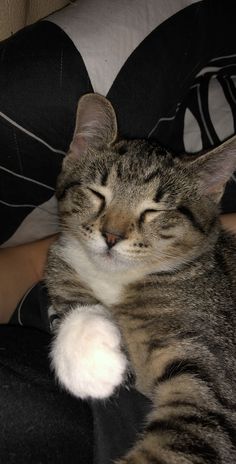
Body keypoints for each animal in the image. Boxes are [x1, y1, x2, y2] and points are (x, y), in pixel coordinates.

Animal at [45, 94, 236, 464]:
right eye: (97, 193)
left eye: (154, 211)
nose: (111, 236)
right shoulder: (64, 262)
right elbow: (66, 286)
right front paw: (89, 357)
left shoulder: (213, 374)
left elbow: (192, 429)